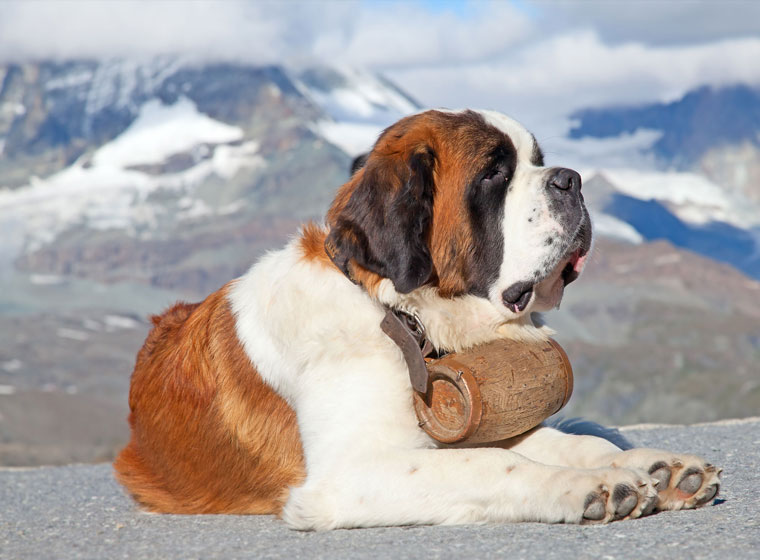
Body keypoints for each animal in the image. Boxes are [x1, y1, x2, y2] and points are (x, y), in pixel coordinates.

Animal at [116, 109, 720, 528]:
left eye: (537, 161)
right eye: (493, 175)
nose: (571, 179)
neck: (402, 316)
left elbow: (563, 442)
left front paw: (650, 467)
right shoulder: (350, 472)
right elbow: (491, 465)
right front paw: (588, 487)